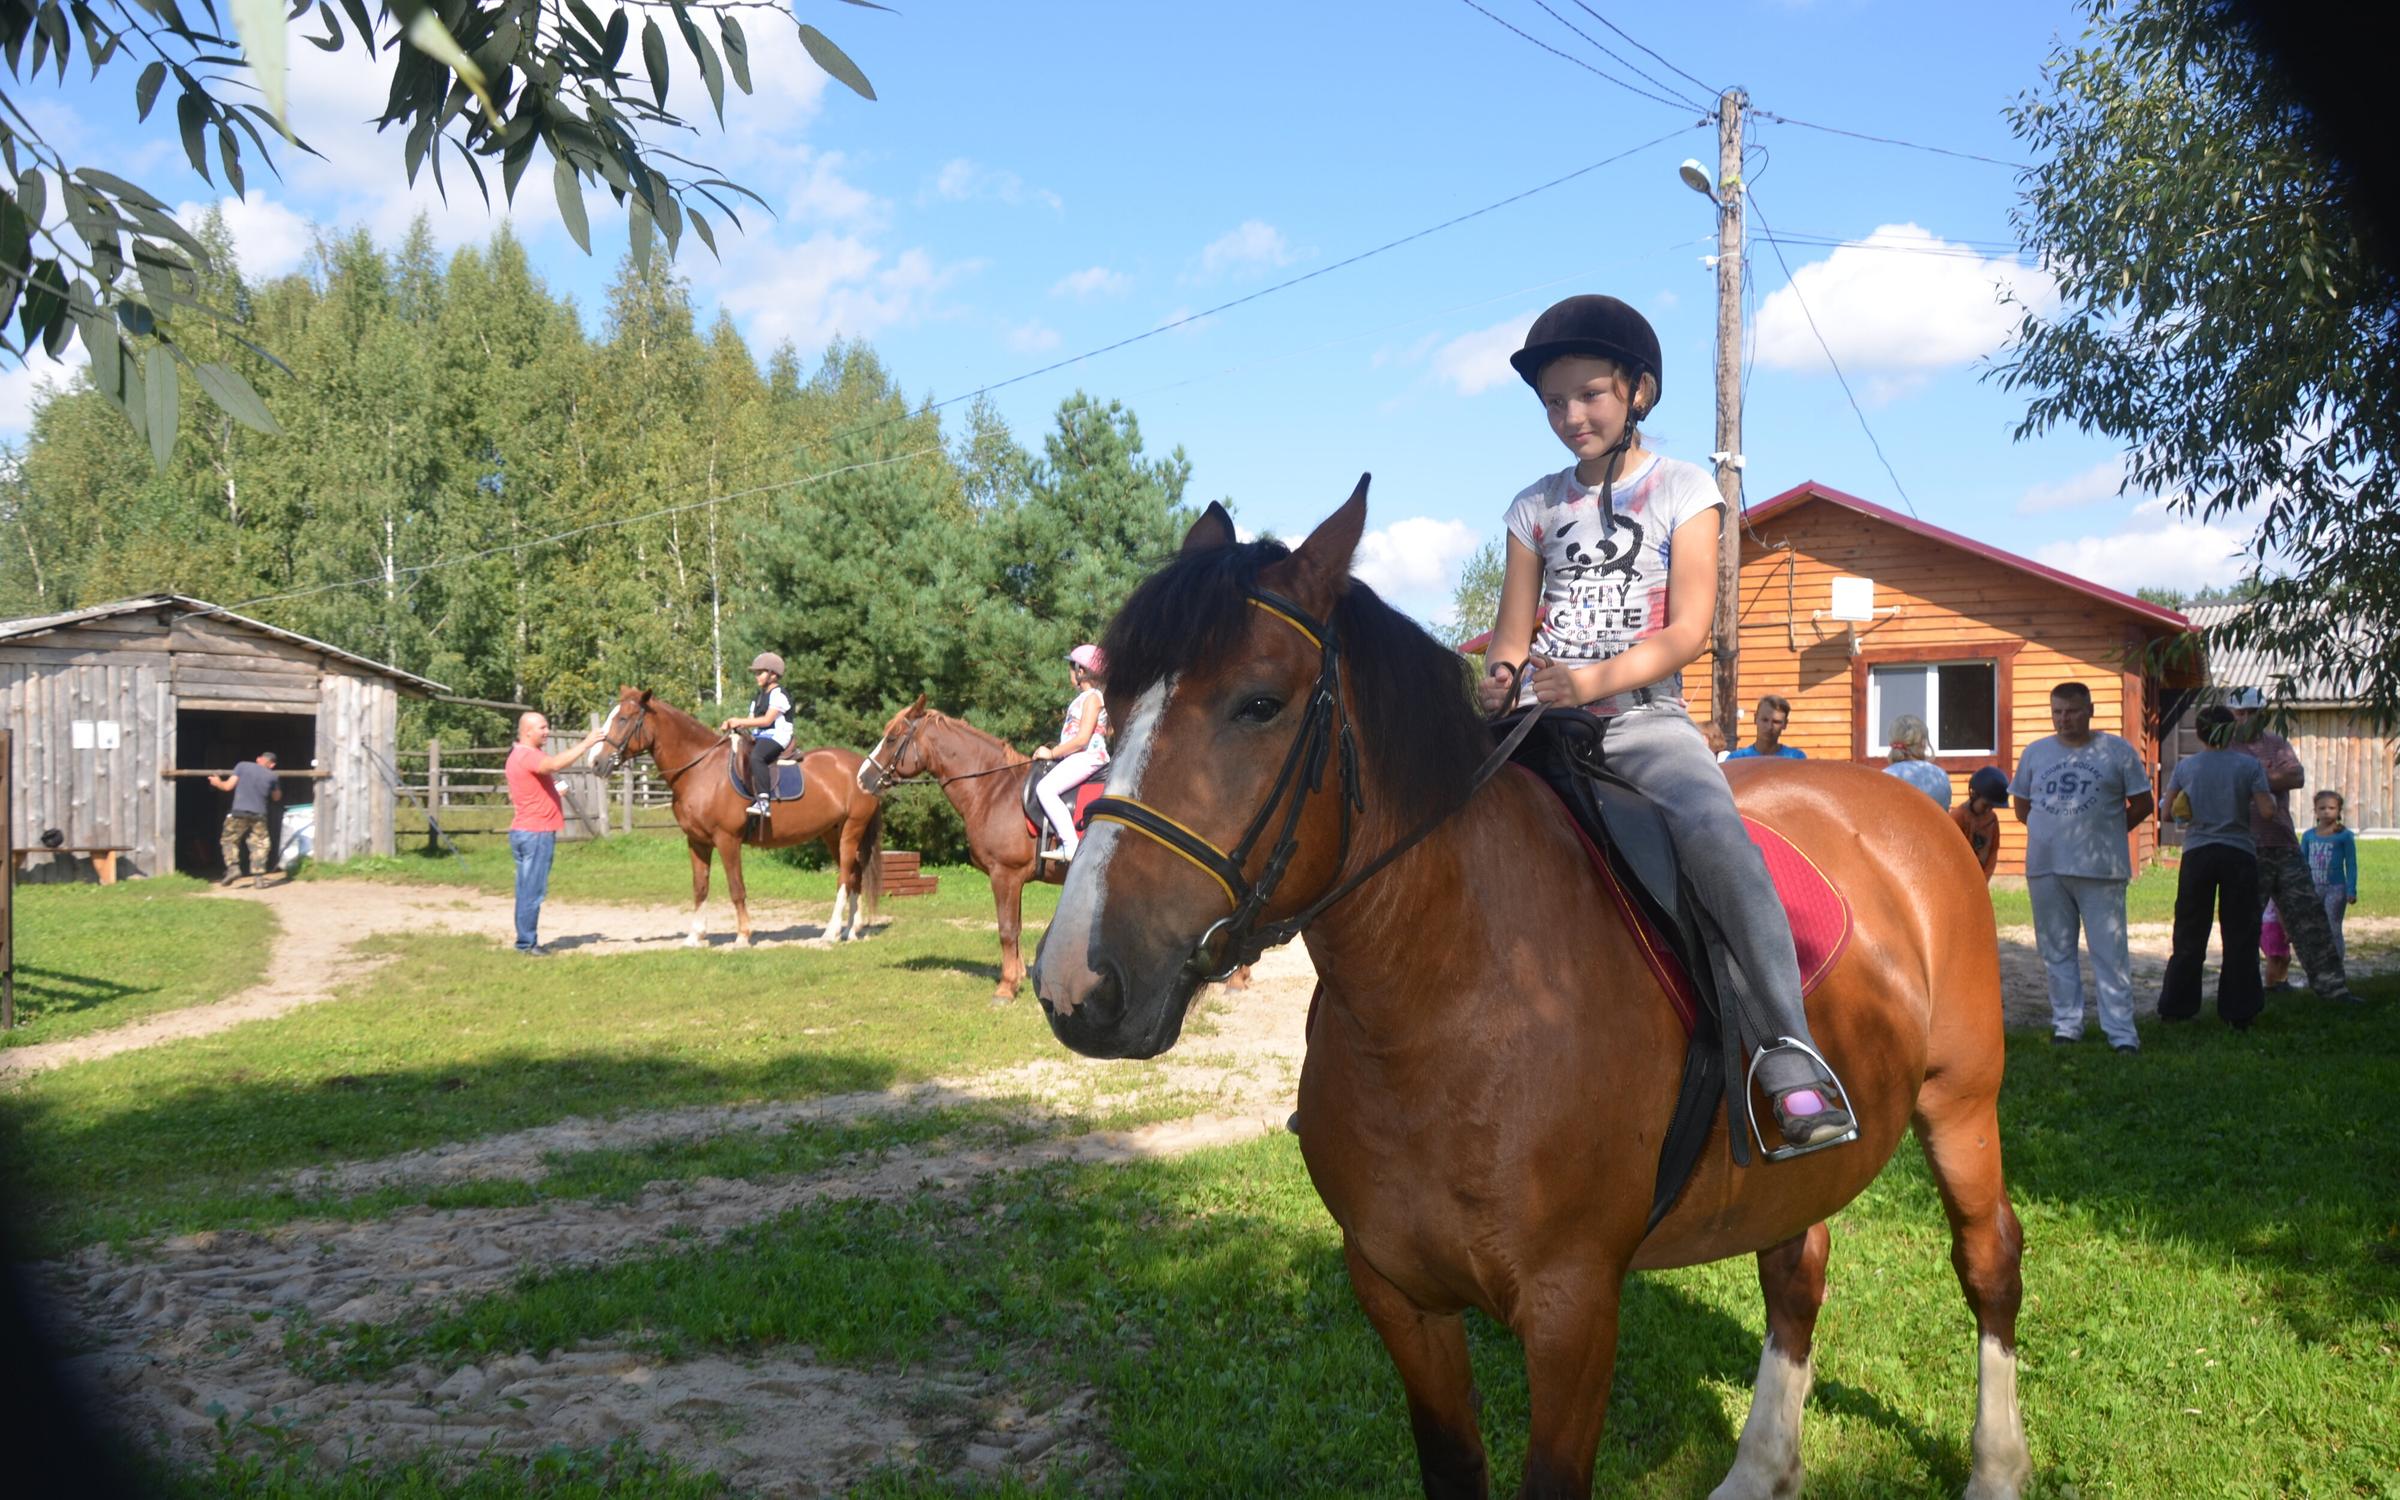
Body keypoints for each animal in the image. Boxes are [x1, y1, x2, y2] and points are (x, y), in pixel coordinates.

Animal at [592, 686, 888, 940]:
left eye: (623, 719)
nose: (596, 762)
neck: (701, 769)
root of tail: (864, 770)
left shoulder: (727, 840)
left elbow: (736, 888)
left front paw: (743, 935)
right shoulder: (697, 841)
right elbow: (700, 886)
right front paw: (696, 936)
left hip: (852, 829)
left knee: (845, 876)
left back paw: (831, 932)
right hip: (832, 833)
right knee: (854, 875)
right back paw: (851, 929)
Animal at [1032, 482, 2025, 1497]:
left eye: (1259, 703)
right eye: (1115, 702)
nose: (1077, 980)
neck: (1446, 1002)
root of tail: (1913, 809)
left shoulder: (1572, 1311)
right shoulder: (1399, 1296)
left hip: (1960, 1102)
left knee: (1988, 1260)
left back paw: (1995, 1466)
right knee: (1796, 1266)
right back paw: (1760, 1468)